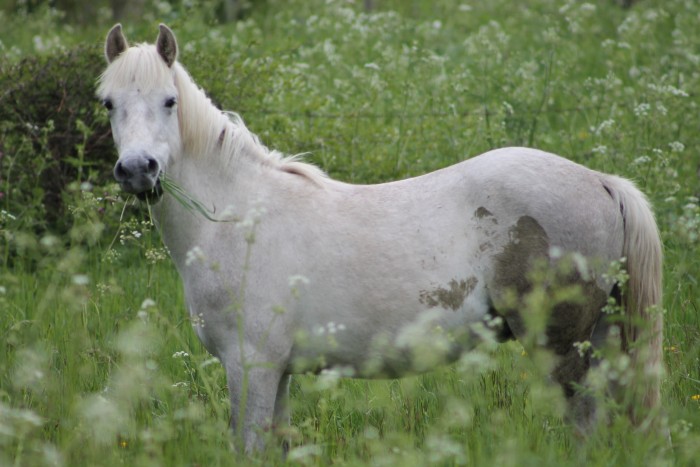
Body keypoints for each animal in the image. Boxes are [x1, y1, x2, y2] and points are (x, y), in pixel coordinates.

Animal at [97, 24, 660, 454]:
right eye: (108, 104)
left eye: (170, 101)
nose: (138, 170)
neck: (237, 217)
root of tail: (602, 182)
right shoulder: (277, 372)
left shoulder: (251, 365)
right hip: (602, 339)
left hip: (561, 350)